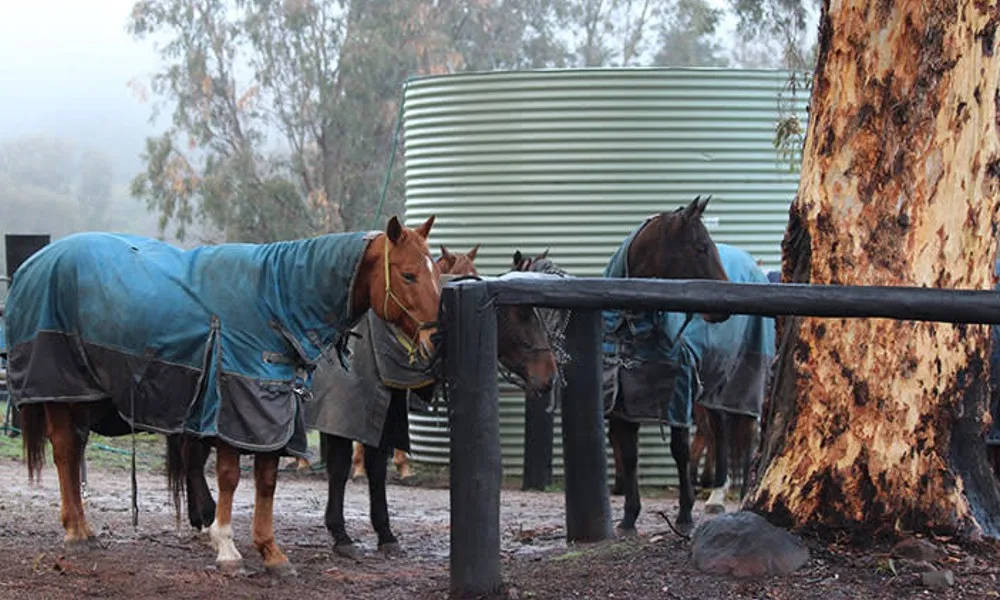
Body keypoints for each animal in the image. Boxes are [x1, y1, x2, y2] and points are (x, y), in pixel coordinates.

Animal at [6, 215, 442, 576]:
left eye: (437, 273)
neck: (275, 303)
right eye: (408, 275)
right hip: (61, 390)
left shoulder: (274, 415)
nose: (434, 340)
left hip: (85, 396)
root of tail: (31, 266)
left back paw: (84, 528)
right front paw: (227, 548)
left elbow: (266, 481)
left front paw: (271, 553)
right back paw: (76, 533)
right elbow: (231, 477)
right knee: (65, 451)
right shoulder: (235, 406)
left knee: (75, 449)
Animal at [602, 195, 775, 533]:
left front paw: (684, 514)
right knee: (720, 433)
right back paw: (717, 495)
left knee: (746, 435)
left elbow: (679, 451)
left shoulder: (679, 397)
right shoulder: (621, 404)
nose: (724, 306)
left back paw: (741, 498)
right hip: (713, 390)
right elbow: (629, 455)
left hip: (741, 385)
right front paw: (629, 517)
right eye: (701, 247)